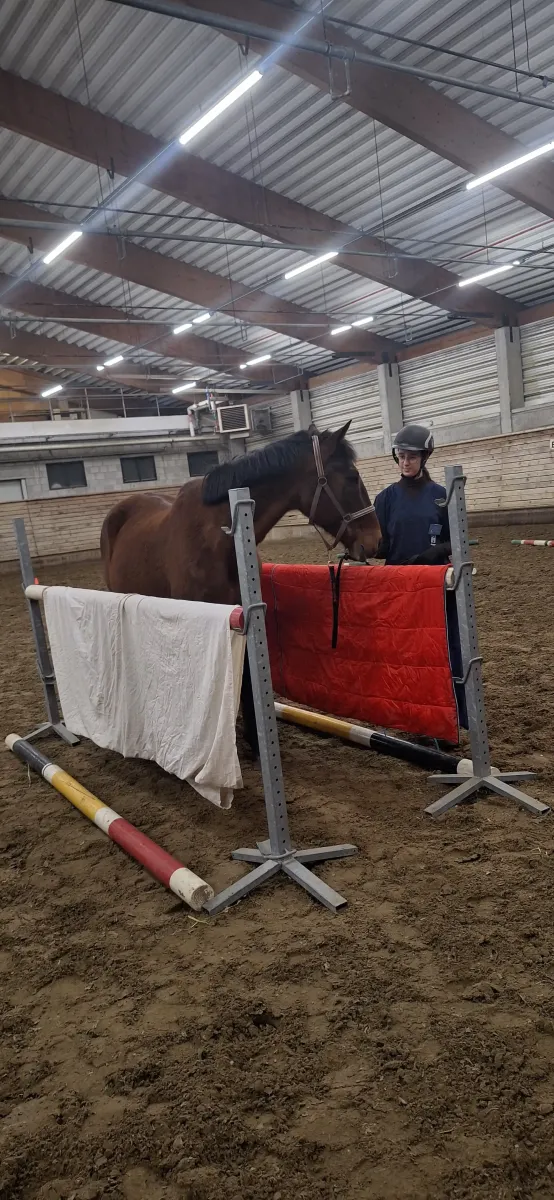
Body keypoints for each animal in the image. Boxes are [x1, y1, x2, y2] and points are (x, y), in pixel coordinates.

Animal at [100, 421, 381, 755]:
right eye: (352, 477)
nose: (375, 540)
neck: (222, 538)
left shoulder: (245, 619)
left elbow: (248, 679)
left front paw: (256, 741)